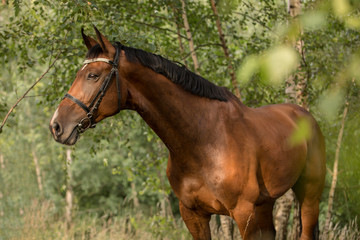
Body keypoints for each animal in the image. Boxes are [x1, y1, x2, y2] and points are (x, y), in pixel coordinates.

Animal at [50, 26, 326, 240]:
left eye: (93, 75)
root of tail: (304, 115)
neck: (204, 141)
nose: (56, 126)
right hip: (265, 205)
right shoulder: (193, 214)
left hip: (309, 195)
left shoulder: (242, 212)